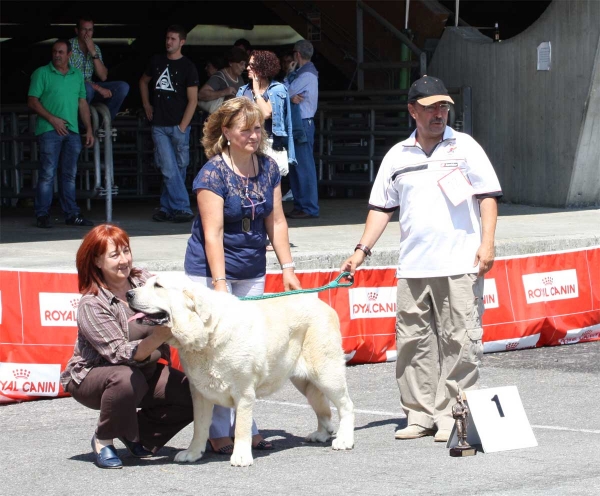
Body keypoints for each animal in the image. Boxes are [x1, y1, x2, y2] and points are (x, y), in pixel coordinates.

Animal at [126, 276, 352, 464]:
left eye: (158, 286)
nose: (128, 294)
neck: (207, 332)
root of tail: (322, 304)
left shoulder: (243, 393)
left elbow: (242, 426)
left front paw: (241, 456)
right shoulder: (200, 392)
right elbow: (199, 427)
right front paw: (193, 453)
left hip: (326, 373)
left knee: (346, 405)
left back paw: (344, 439)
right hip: (305, 381)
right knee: (321, 406)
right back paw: (322, 434)